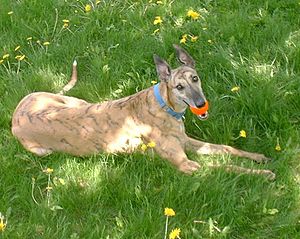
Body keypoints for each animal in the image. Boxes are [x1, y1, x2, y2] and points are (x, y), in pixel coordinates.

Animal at [11, 44, 274, 179]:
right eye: (179, 87)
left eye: (195, 78)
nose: (201, 104)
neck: (164, 106)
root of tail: (17, 112)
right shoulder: (186, 164)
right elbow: (225, 167)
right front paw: (262, 173)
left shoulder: (187, 141)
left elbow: (227, 149)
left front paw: (258, 157)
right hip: (42, 150)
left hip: (75, 102)